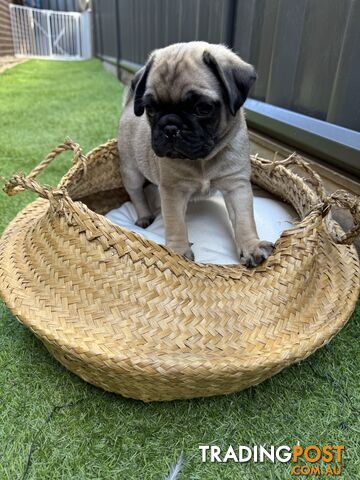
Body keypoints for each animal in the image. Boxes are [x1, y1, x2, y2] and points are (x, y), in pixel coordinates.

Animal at [118, 41, 272, 266]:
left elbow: (244, 220)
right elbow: (175, 223)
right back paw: (144, 215)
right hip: (131, 172)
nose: (170, 127)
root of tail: (130, 105)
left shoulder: (236, 185)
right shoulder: (173, 190)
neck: (202, 160)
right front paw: (177, 251)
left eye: (202, 108)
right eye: (151, 109)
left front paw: (251, 246)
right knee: (137, 193)